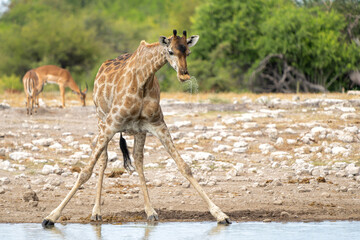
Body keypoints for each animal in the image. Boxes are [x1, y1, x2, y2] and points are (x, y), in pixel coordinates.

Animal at [42, 30, 231, 227]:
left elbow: (184, 166)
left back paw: (150, 211)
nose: (184, 75)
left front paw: (220, 214)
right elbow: (85, 171)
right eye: (170, 51)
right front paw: (51, 216)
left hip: (138, 131)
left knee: (138, 160)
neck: (143, 80)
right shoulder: (111, 124)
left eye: (188, 52)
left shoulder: (157, 124)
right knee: (103, 160)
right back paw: (96, 212)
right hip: (101, 120)